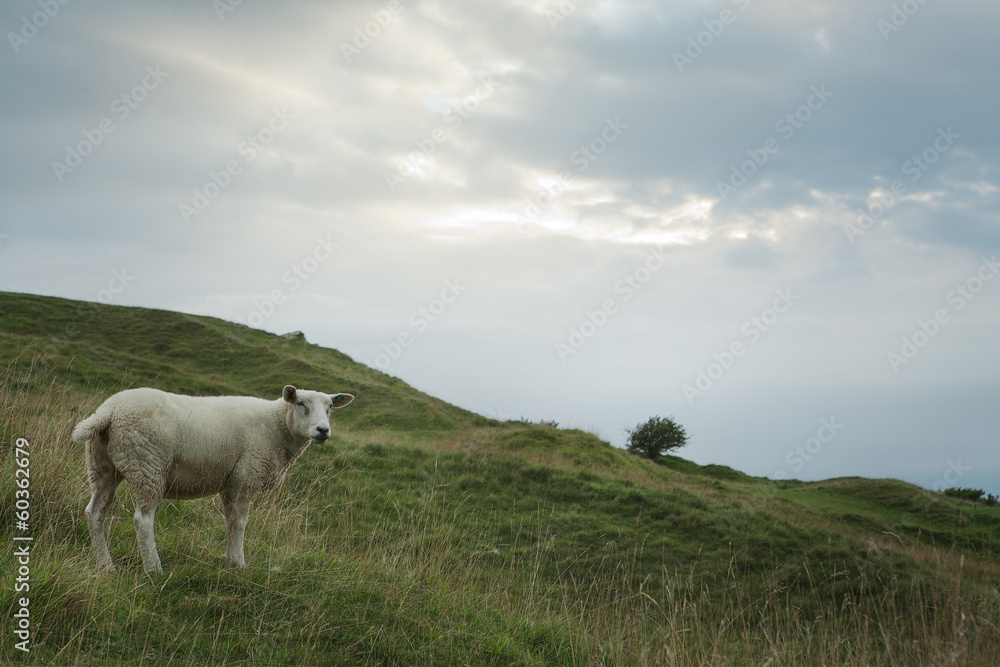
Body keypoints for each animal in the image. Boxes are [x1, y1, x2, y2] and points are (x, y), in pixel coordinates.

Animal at [71, 385, 354, 574]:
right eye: (301, 404)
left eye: (330, 407)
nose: (322, 430)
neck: (277, 425)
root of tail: (109, 411)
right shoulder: (246, 476)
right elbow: (239, 523)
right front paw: (239, 563)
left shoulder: (231, 482)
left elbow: (230, 521)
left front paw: (230, 560)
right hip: (149, 464)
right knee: (143, 519)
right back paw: (154, 568)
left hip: (103, 466)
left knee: (95, 512)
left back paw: (106, 565)